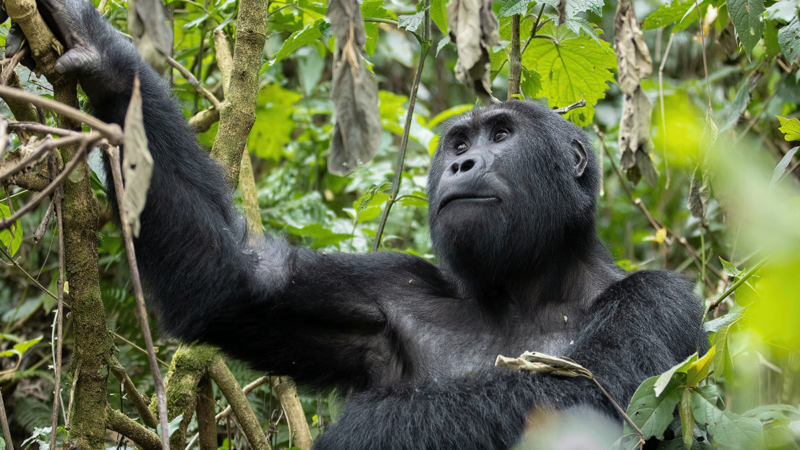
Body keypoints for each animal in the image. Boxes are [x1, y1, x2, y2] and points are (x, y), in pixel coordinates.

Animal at [4, 1, 708, 448]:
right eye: (458, 143)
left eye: (503, 134)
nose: (464, 163)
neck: (526, 288)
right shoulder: (392, 292)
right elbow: (236, 280)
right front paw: (103, 55)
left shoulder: (660, 299)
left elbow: (589, 401)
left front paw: (359, 433)